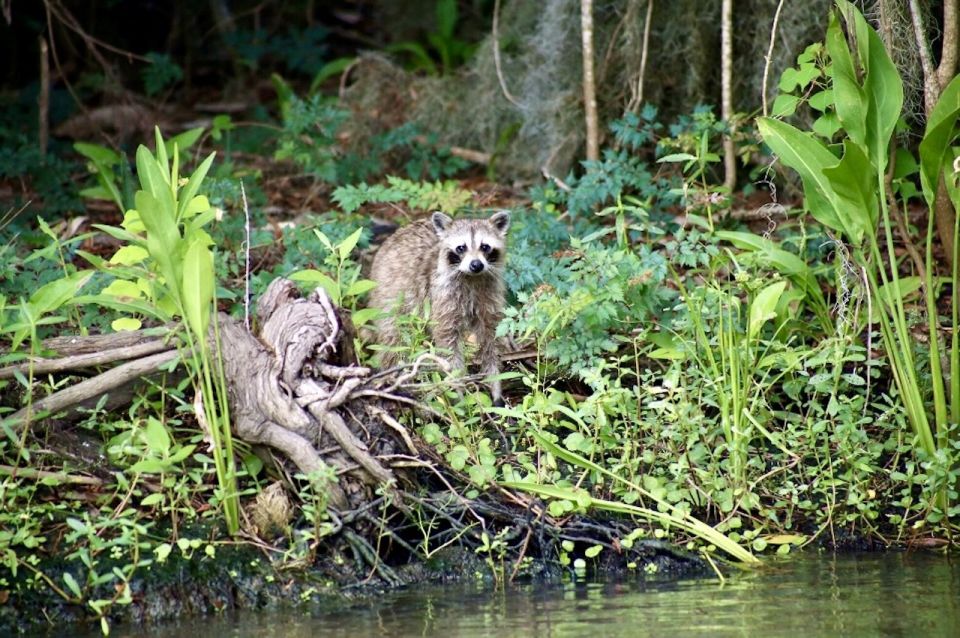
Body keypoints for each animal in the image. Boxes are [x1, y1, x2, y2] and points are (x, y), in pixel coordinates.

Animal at [370, 212, 512, 408]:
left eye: (485, 247)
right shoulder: (443, 297)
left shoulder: (489, 298)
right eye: (461, 248)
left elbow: (491, 340)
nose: (476, 264)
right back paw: (394, 376)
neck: (471, 278)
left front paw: (495, 384)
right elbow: (448, 346)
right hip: (390, 291)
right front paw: (458, 392)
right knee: (393, 335)